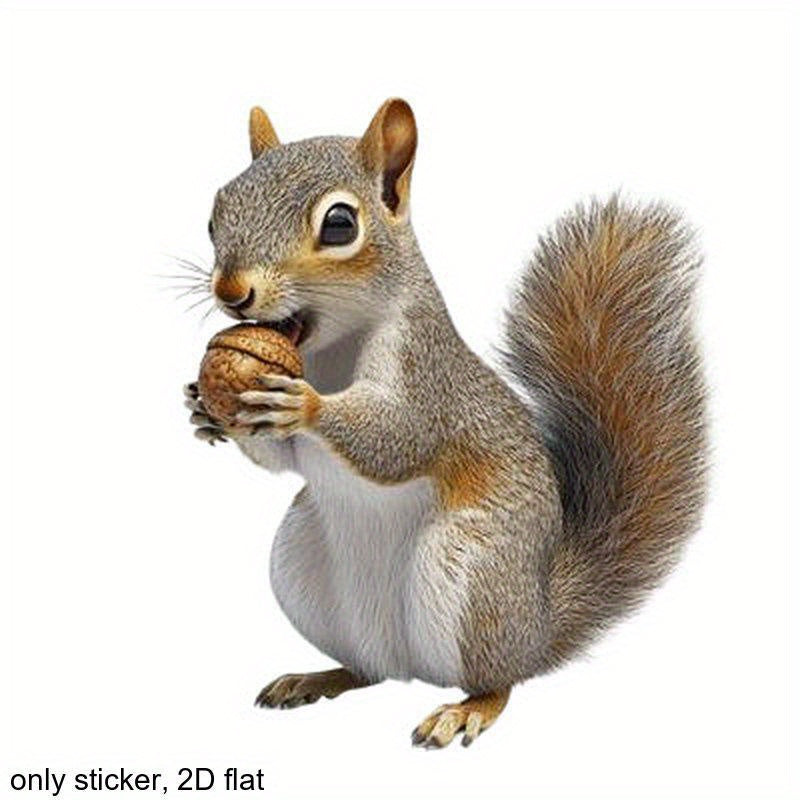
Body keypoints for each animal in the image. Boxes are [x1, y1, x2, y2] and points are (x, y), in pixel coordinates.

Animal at [183, 99, 708, 748]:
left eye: (339, 225)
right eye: (215, 214)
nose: (232, 292)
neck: (327, 352)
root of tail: (537, 621)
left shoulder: (427, 376)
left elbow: (400, 439)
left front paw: (306, 407)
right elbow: (285, 459)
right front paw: (205, 409)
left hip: (471, 574)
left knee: (501, 678)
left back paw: (467, 708)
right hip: (303, 566)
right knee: (368, 669)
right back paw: (317, 677)